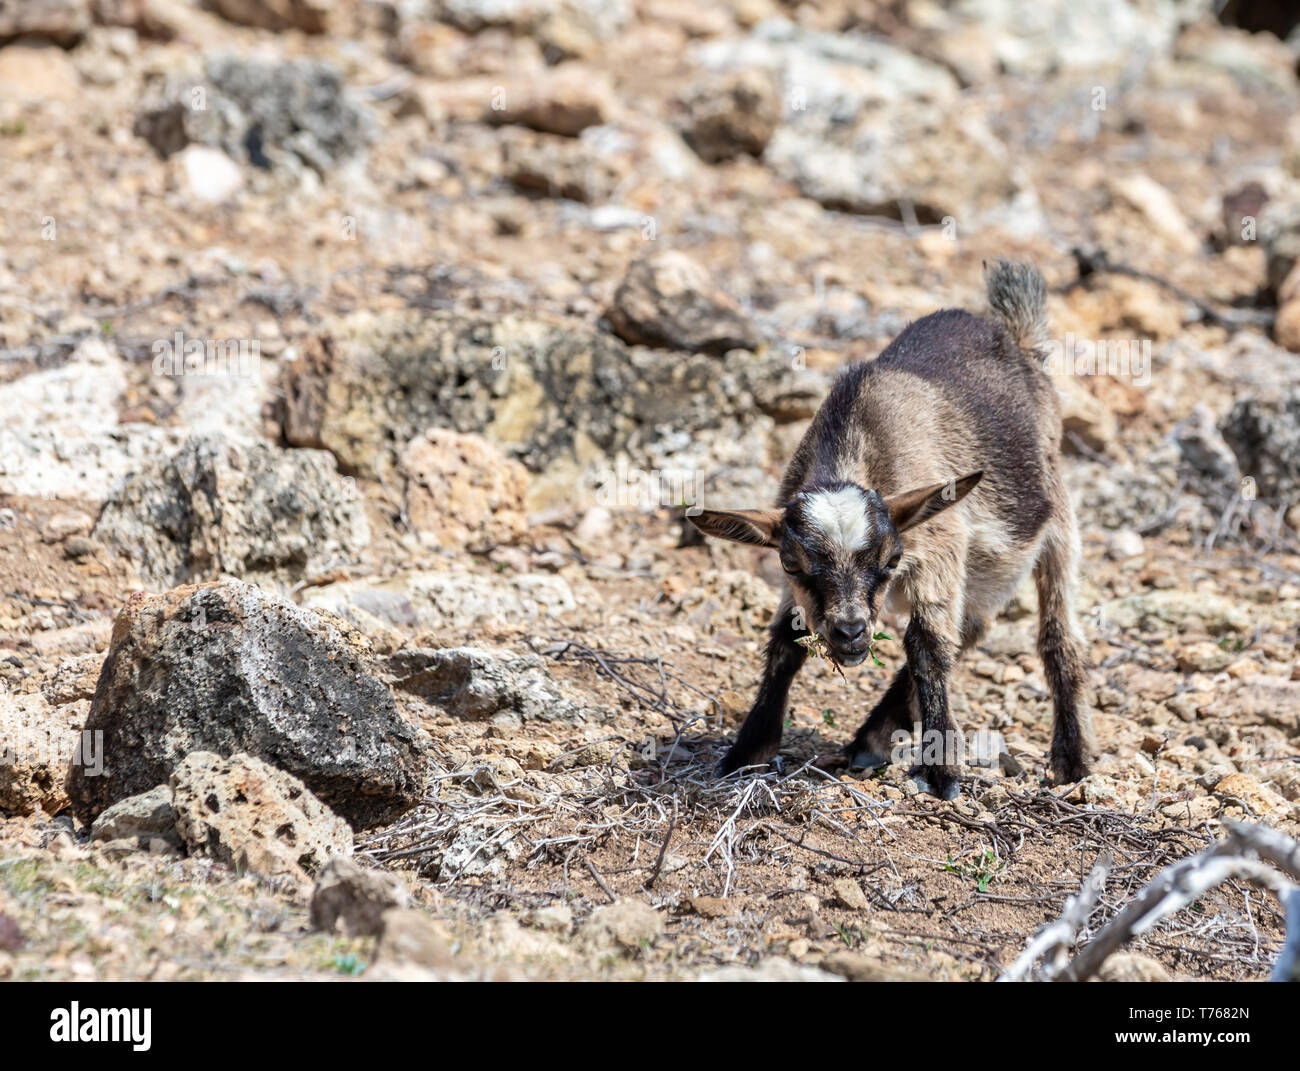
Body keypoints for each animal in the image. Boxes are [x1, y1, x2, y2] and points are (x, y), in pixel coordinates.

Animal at [696, 259, 1092, 795]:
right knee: (973, 625)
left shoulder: (941, 543)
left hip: (1055, 524)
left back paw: (1072, 759)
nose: (849, 633)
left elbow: (925, 646)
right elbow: (784, 642)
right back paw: (871, 739)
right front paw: (747, 750)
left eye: (890, 561)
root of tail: (1017, 337)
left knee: (1055, 636)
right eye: (792, 564)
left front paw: (943, 771)